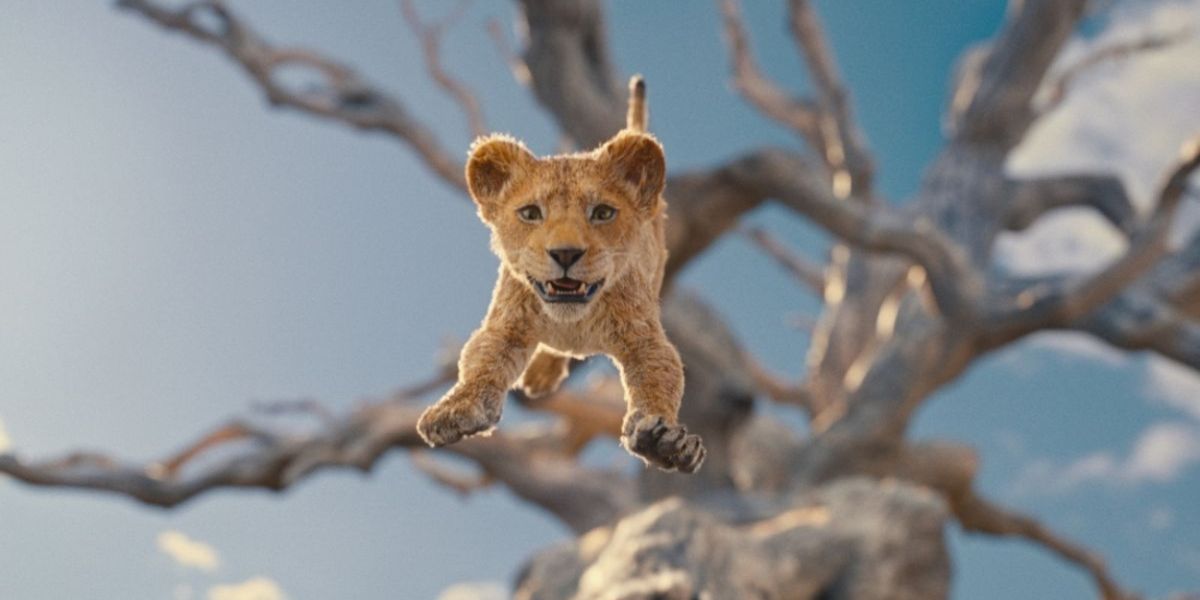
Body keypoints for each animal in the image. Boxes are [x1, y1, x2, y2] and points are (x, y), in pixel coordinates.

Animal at [415, 76, 706, 473]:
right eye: (530, 213)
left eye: (602, 213)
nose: (565, 253)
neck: (572, 320)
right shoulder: (506, 325)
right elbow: (480, 362)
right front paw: (455, 409)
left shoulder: (644, 338)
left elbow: (659, 378)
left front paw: (665, 441)